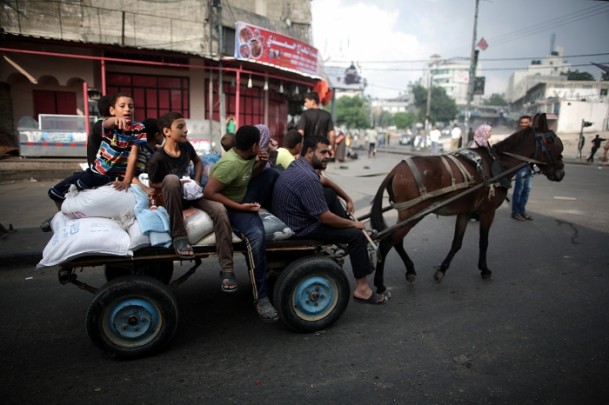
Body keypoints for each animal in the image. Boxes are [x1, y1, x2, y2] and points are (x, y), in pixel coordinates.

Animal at [370, 114, 564, 294]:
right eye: (552, 141)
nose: (561, 172)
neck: (497, 162)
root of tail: (395, 170)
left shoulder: (466, 211)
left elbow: (457, 243)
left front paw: (442, 270)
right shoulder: (488, 211)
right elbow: (484, 241)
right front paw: (485, 270)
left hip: (410, 215)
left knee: (397, 241)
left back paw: (410, 271)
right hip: (412, 213)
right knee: (386, 243)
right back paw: (380, 285)